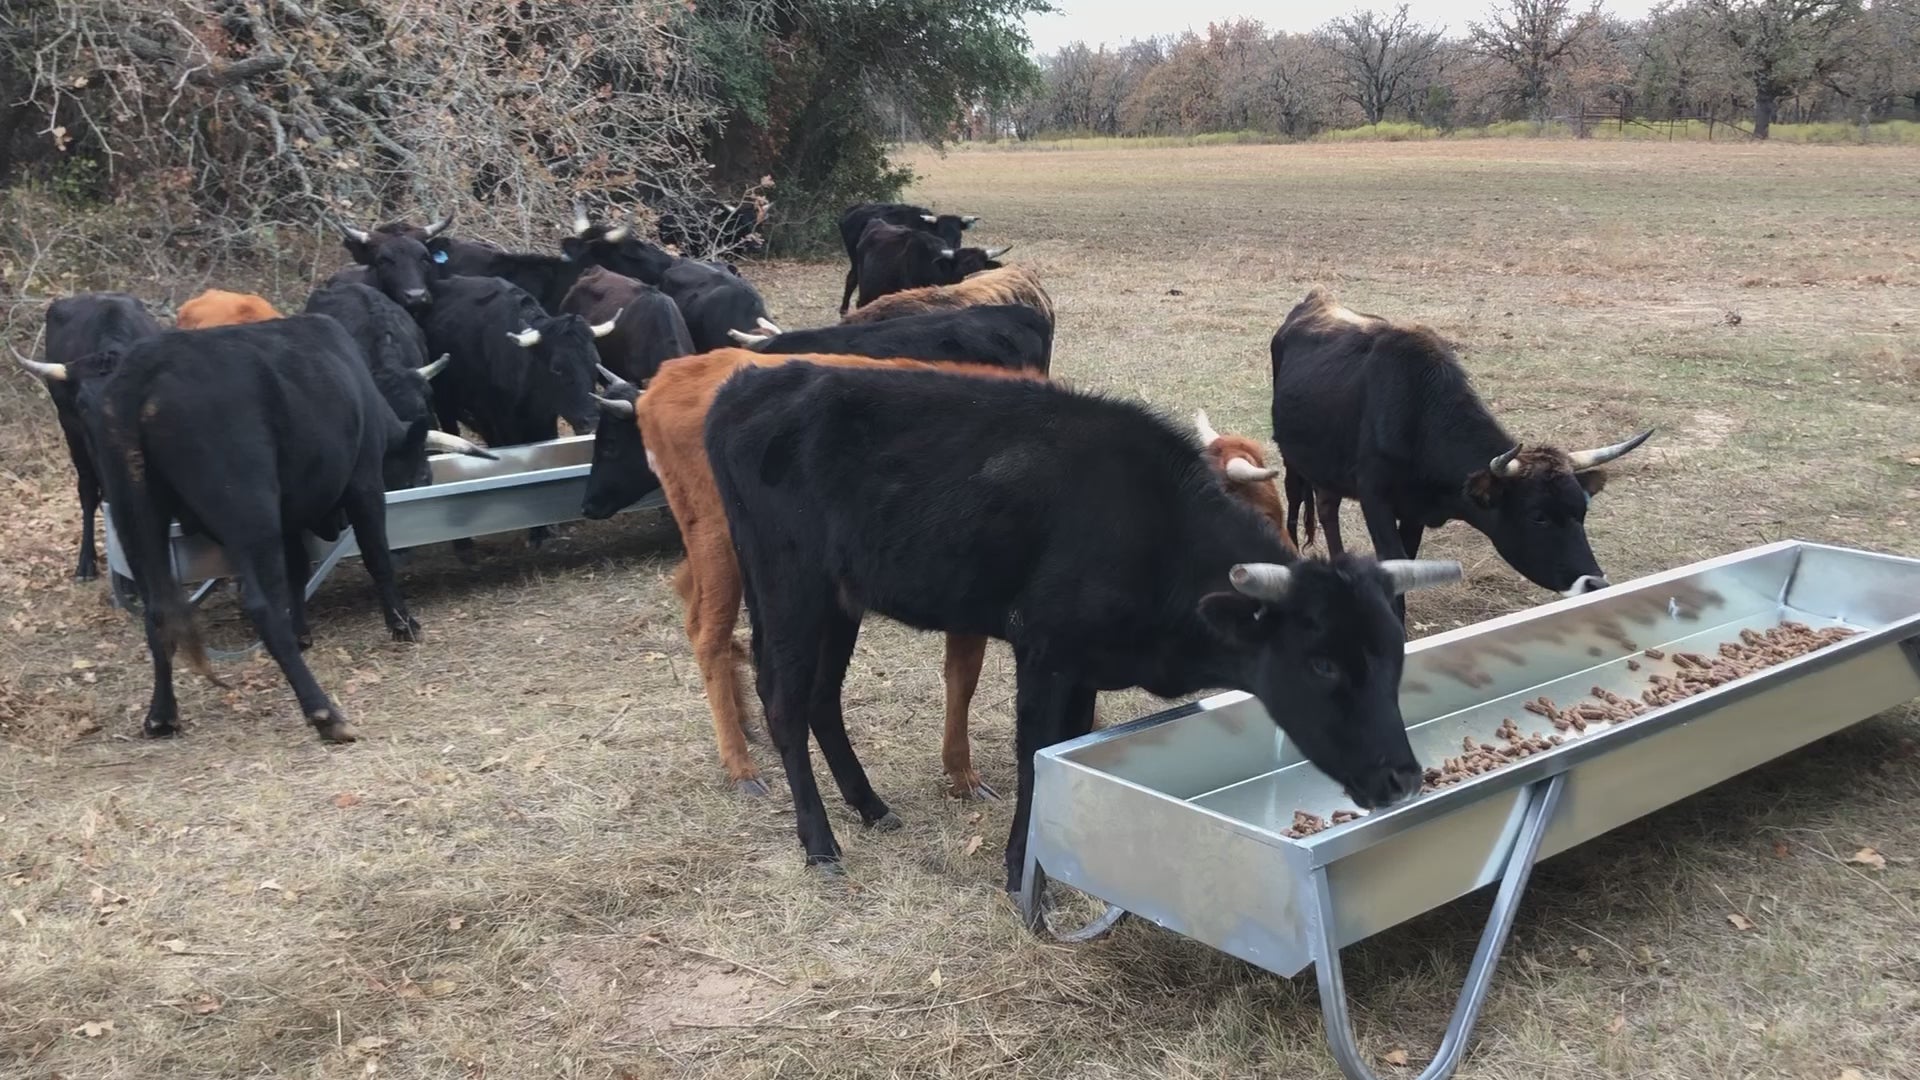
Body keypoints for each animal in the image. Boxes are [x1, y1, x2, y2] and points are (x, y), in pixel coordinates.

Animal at [55, 316, 488, 742]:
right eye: (422, 474)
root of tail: (144, 373)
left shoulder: (289, 518)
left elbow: (296, 571)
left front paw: (302, 631)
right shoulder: (363, 482)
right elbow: (375, 556)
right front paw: (403, 624)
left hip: (137, 518)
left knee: (159, 608)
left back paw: (162, 715)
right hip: (248, 512)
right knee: (263, 606)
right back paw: (324, 713)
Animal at [837, 203, 977, 314]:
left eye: (959, 237)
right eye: (941, 233)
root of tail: (853, 210)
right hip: (856, 262)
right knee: (851, 280)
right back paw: (844, 310)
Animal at [1270, 287, 1652, 614]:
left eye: (1582, 511)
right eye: (1538, 516)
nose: (1594, 584)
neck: (1418, 416)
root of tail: (1315, 300)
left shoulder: (1414, 511)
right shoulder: (1375, 499)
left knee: (1327, 507)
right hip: (1292, 461)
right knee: (1297, 503)